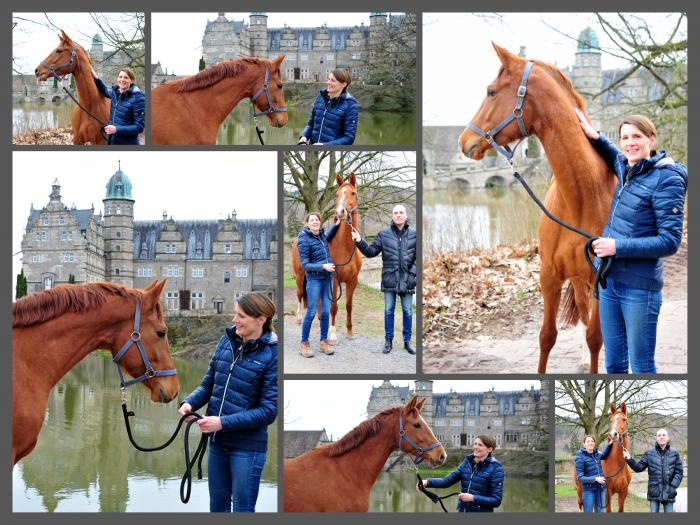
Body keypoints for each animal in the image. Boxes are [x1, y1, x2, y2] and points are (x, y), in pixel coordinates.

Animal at [292, 174, 364, 342]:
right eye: (337, 194)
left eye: (352, 193)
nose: (340, 212)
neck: (345, 247)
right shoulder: (334, 279)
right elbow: (333, 307)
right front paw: (332, 334)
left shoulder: (353, 281)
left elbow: (348, 306)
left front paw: (350, 332)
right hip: (299, 276)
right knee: (299, 294)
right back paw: (299, 318)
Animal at [460, 44, 612, 372]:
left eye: (491, 92)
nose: (464, 141)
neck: (581, 197)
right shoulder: (549, 275)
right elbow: (547, 337)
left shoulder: (600, 278)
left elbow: (596, 337)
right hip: (576, 280)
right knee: (583, 312)